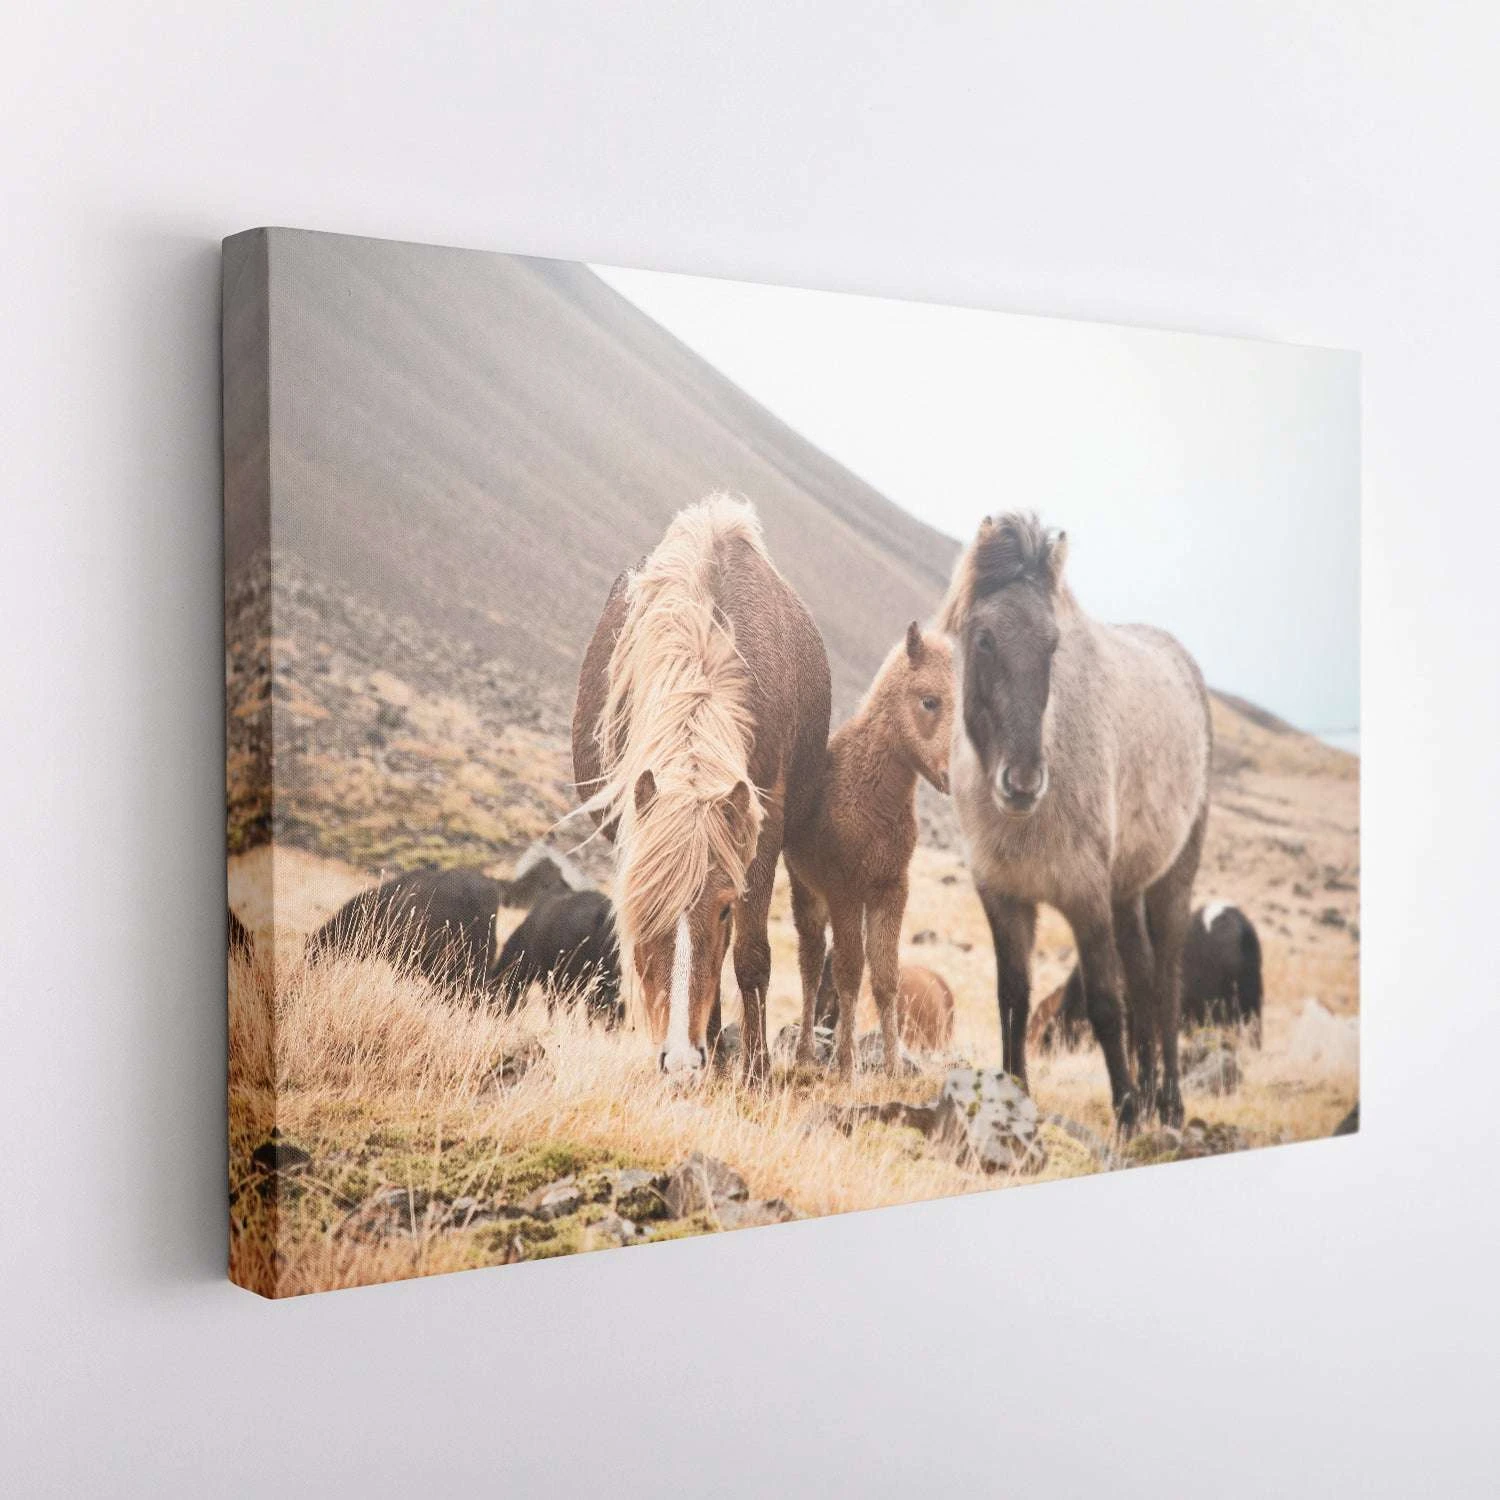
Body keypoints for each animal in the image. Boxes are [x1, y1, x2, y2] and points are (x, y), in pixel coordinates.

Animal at [572, 496, 831, 1081]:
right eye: (645, 908)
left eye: (723, 908)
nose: (682, 1060)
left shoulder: (763, 824)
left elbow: (750, 953)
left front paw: (756, 1071)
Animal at [942, 514, 1211, 1129]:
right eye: (984, 638)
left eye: (1052, 644)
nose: (1022, 783)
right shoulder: (1004, 897)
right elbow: (1012, 996)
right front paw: (1014, 1093)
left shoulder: (1085, 897)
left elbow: (1105, 1003)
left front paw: (1127, 1114)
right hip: (1127, 891)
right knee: (1142, 976)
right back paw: (1153, 1092)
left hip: (1172, 881)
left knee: (1164, 984)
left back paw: (1168, 1104)